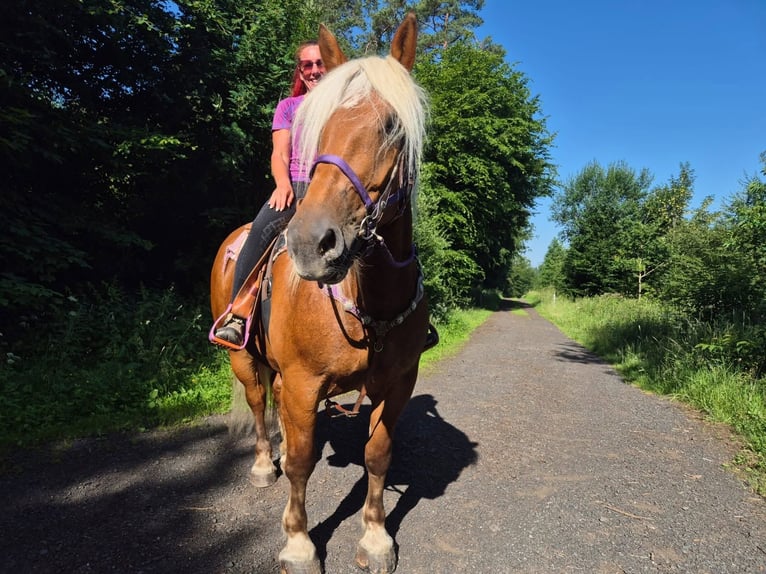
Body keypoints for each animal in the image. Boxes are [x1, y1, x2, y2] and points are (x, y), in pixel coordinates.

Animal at [210, 14, 428, 574]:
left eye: (392, 127)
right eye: (319, 128)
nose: (312, 243)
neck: (368, 302)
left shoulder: (398, 384)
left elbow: (377, 455)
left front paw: (376, 538)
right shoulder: (305, 383)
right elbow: (305, 464)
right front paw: (299, 543)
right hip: (244, 359)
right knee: (260, 405)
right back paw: (265, 464)